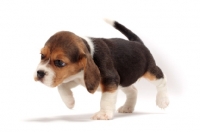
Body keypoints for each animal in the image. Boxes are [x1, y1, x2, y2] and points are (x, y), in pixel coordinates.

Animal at [34, 19, 169, 119]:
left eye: (60, 62)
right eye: (42, 56)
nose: (39, 73)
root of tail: (137, 42)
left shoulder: (111, 80)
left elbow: (106, 99)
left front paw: (103, 114)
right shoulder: (76, 78)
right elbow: (62, 87)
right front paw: (70, 102)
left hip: (150, 71)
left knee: (162, 80)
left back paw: (163, 100)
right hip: (125, 80)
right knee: (133, 90)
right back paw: (128, 107)